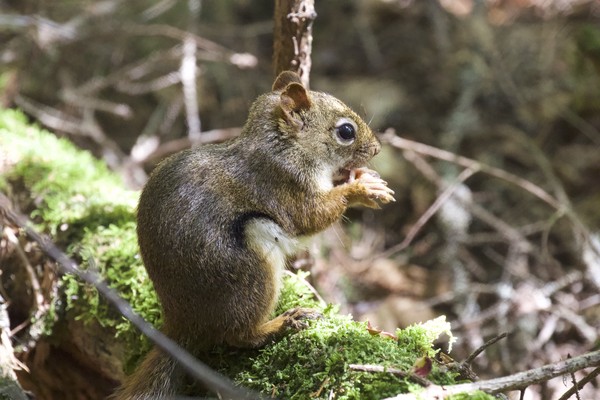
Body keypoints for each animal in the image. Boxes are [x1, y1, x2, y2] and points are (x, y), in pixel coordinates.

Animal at [113, 71, 395, 399]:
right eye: (346, 131)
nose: (376, 149)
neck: (284, 146)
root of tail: (185, 324)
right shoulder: (283, 184)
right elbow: (310, 217)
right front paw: (360, 189)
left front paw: (365, 178)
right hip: (249, 271)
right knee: (237, 335)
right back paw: (281, 324)